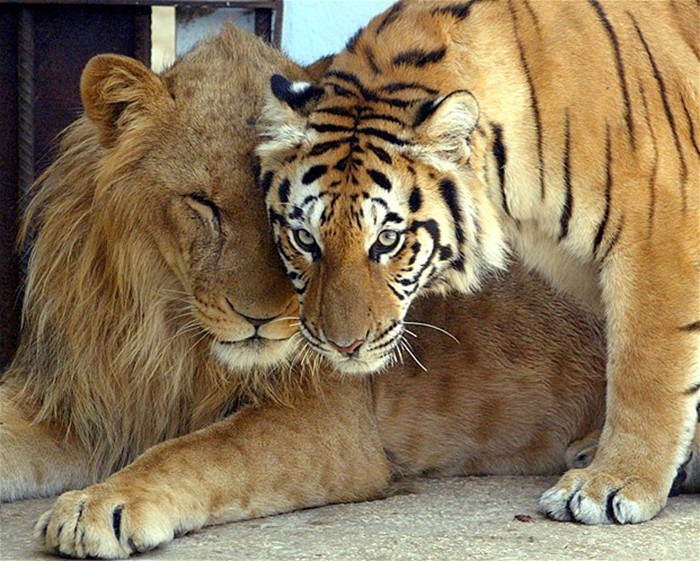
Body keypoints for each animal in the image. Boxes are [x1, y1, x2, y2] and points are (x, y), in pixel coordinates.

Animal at [0, 24, 640, 556]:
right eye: (204, 205)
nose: (262, 319)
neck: (162, 329)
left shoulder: (330, 420)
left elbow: (199, 452)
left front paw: (100, 504)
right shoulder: (86, 397)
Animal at [256, 0, 700, 524]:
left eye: (387, 240)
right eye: (305, 238)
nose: (344, 346)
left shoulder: (660, 232)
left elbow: (645, 374)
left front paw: (614, 482)